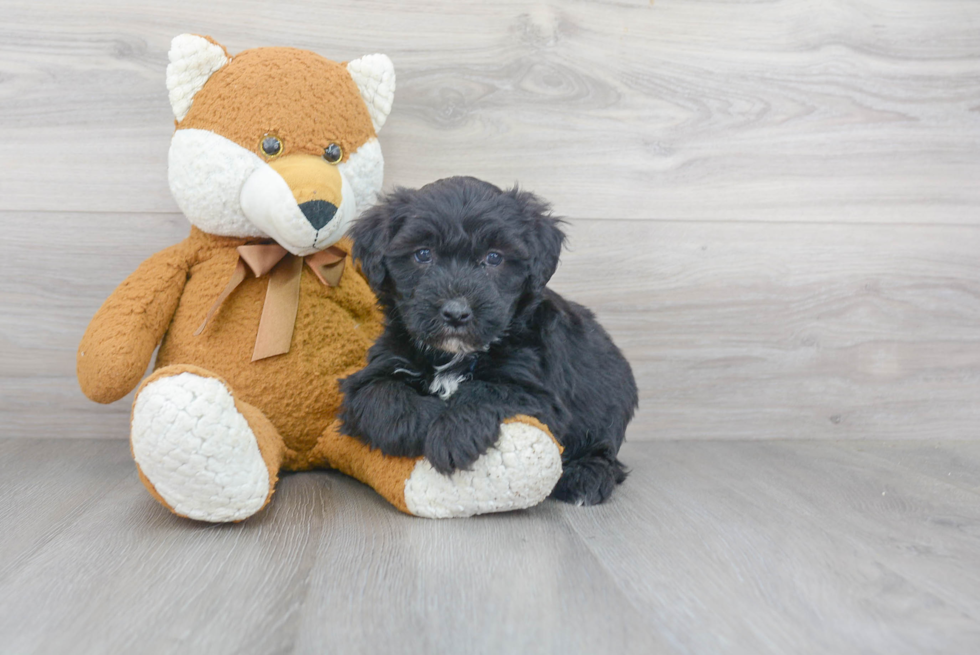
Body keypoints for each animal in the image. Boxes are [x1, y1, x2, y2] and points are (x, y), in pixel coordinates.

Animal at [340, 177, 640, 504]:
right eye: (423, 254)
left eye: (494, 257)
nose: (456, 313)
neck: (454, 355)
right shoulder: (374, 371)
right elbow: (379, 394)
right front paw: (423, 419)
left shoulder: (541, 395)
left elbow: (488, 390)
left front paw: (452, 433)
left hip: (607, 405)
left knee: (603, 451)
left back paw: (585, 479)